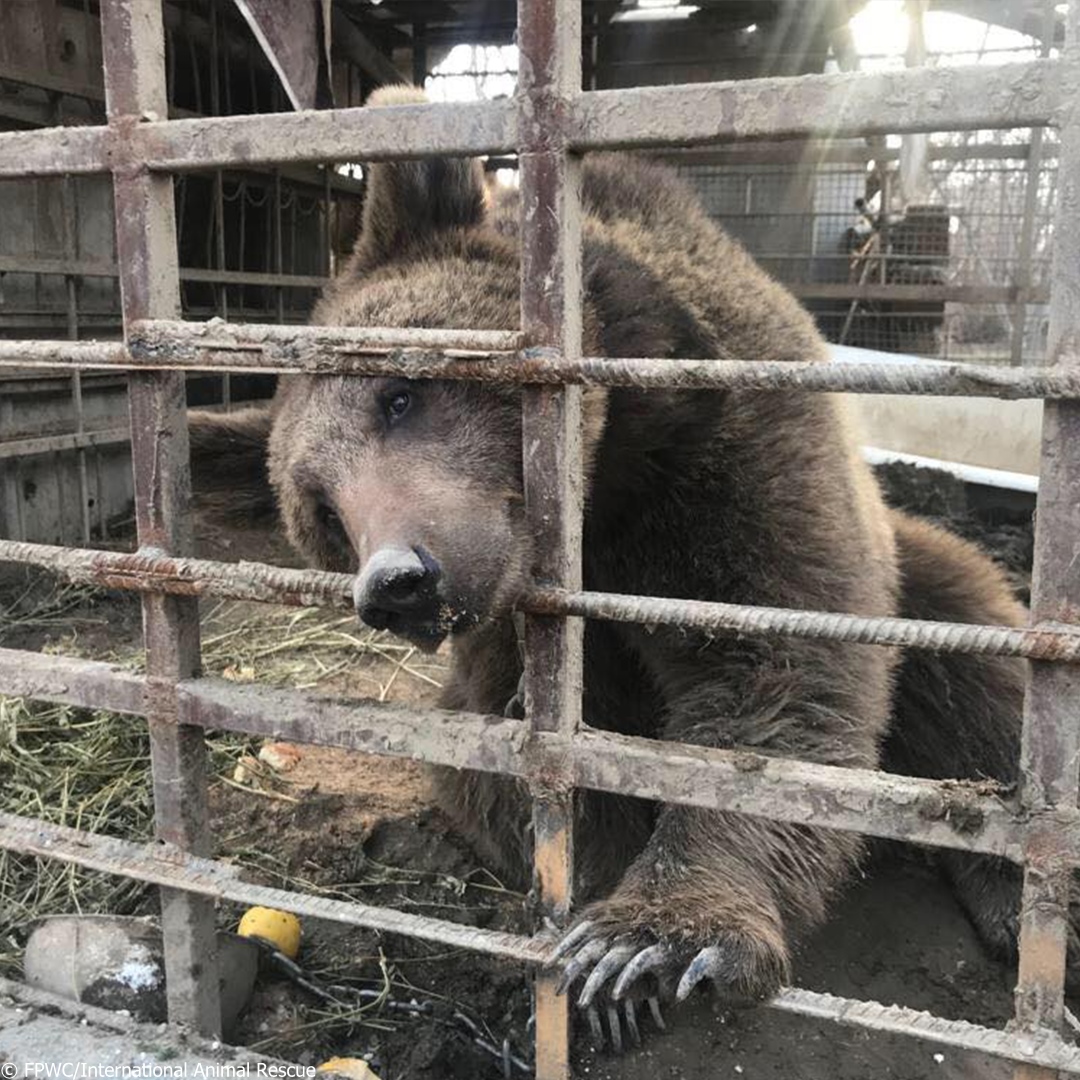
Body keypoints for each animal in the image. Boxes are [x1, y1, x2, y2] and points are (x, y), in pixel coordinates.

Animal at [188, 85, 1054, 1047]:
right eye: (323, 511)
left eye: (400, 395)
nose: (400, 581)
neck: (608, 479)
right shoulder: (516, 641)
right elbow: (529, 767)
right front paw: (603, 967)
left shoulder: (725, 458)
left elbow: (778, 672)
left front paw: (656, 940)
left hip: (921, 570)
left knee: (976, 667)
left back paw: (1012, 897)